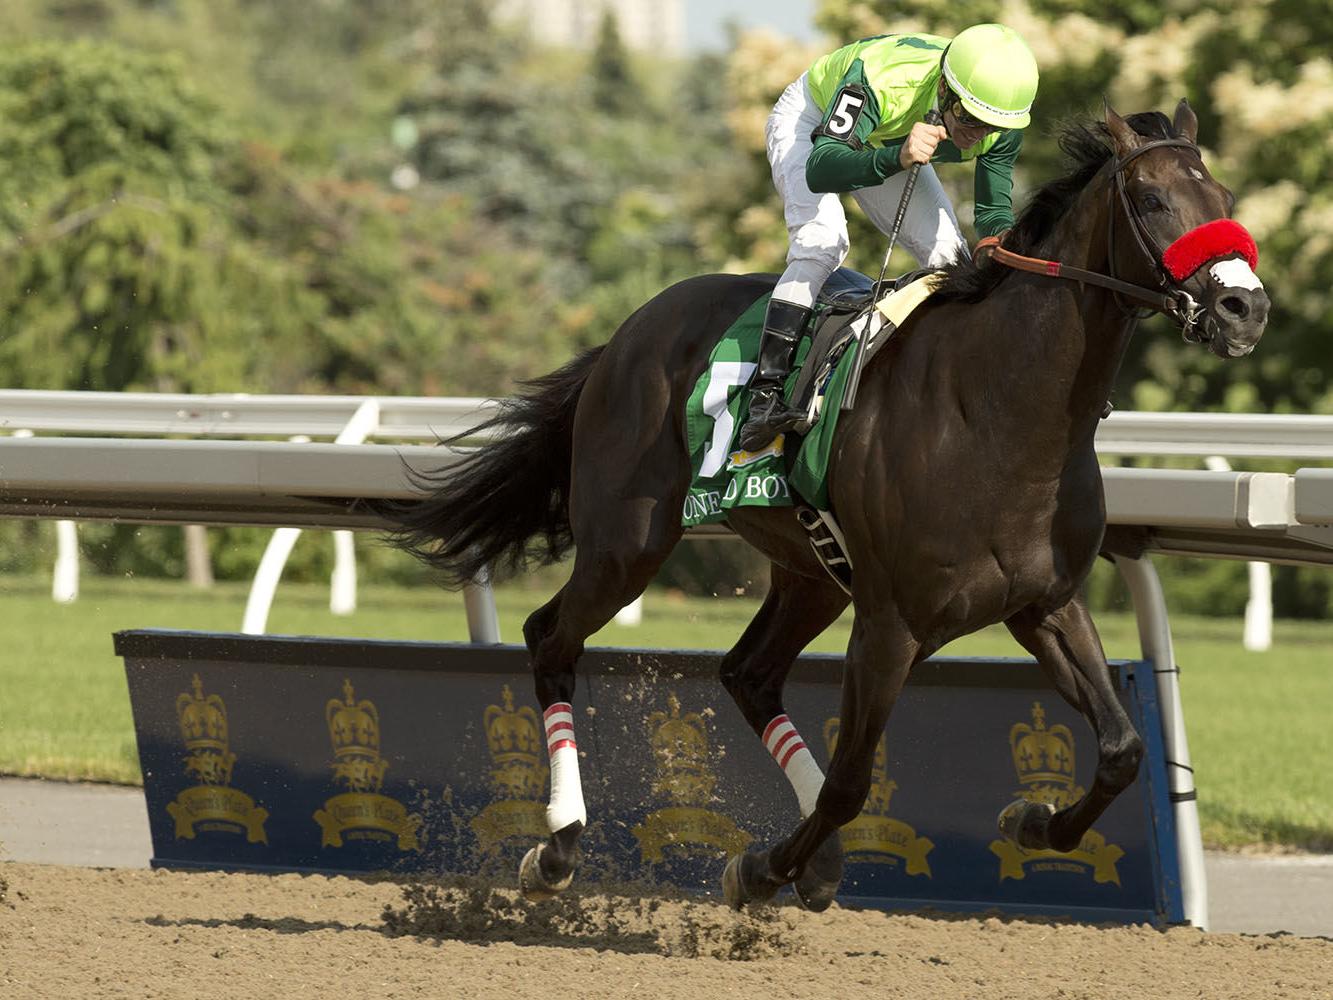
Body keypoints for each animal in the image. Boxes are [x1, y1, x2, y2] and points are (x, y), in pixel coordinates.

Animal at [380, 101, 1269, 911]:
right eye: (1150, 199)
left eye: (1223, 193)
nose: (1244, 309)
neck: (999, 414)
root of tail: (628, 331)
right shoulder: (889, 624)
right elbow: (850, 782)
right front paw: (758, 868)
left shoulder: (1043, 603)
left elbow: (1122, 749)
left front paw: (1031, 821)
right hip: (626, 541)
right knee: (550, 639)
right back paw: (559, 846)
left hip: (807, 571)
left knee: (747, 673)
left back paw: (813, 859)